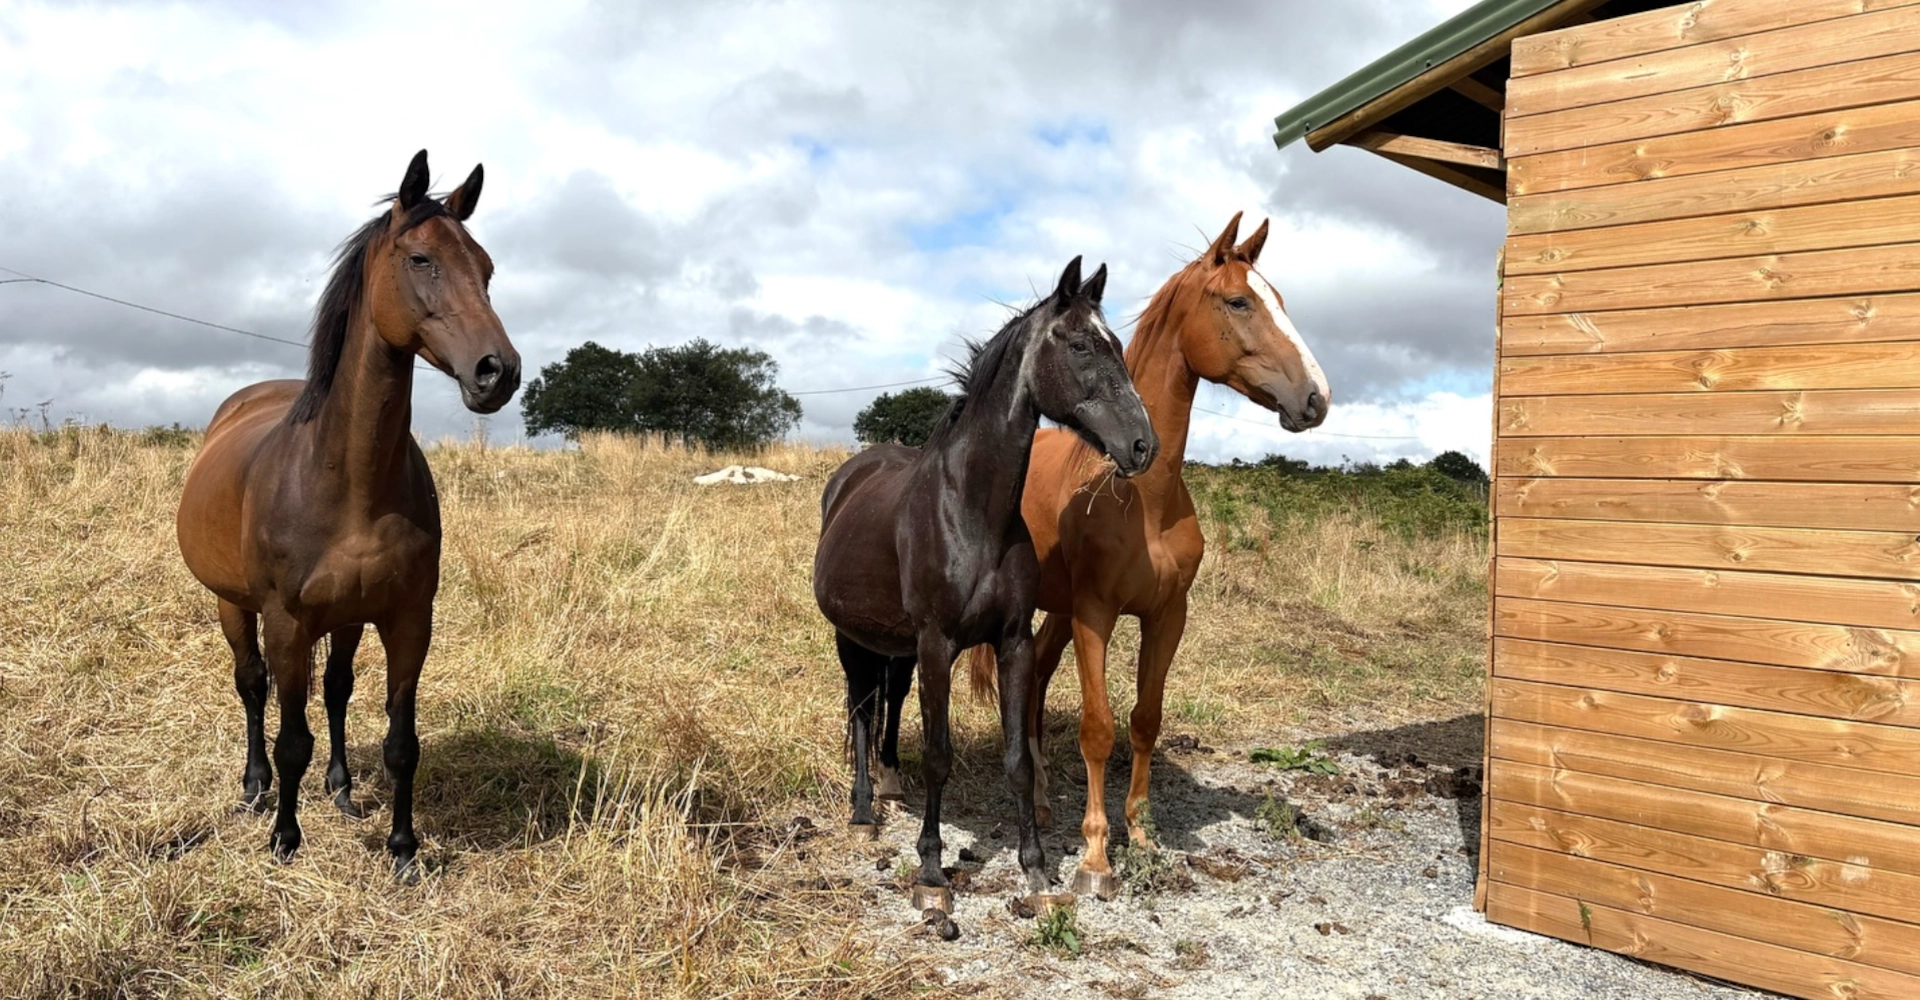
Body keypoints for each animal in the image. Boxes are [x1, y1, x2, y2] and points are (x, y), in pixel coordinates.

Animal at [175, 150, 520, 876]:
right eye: (420, 258)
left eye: (486, 268)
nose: (497, 372)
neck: (349, 482)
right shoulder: (286, 621)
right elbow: (290, 738)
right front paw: (285, 838)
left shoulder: (407, 618)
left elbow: (400, 742)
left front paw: (403, 848)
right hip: (232, 604)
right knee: (253, 687)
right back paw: (254, 789)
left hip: (348, 617)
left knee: (334, 690)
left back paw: (340, 788)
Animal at [812, 257, 1158, 917]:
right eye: (1080, 345)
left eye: (1120, 348)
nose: (1142, 446)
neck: (971, 511)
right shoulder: (937, 643)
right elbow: (938, 756)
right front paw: (930, 874)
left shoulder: (1012, 642)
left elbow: (1018, 758)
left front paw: (1037, 872)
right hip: (854, 640)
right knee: (864, 710)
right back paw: (865, 810)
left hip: (898, 645)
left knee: (891, 702)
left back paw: (890, 784)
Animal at [966, 212, 1329, 899]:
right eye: (1238, 301)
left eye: (1283, 301)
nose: (1316, 398)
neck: (1143, 501)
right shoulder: (1096, 614)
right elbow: (1098, 727)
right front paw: (1094, 857)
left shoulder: (1167, 617)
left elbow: (1145, 720)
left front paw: (1140, 834)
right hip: (1060, 614)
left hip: (1056, 614)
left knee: (1036, 683)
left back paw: (1045, 800)